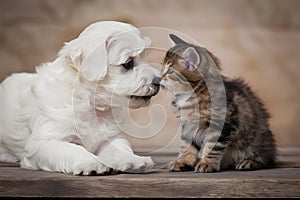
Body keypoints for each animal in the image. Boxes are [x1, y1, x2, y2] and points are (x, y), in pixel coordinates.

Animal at [0, 20, 161, 175]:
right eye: (128, 63)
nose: (158, 81)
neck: (89, 103)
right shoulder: (44, 141)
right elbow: (74, 149)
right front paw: (91, 163)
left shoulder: (109, 137)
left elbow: (119, 148)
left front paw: (133, 159)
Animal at [162, 34, 276, 172]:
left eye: (169, 71)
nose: (158, 77)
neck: (194, 94)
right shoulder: (188, 126)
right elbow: (187, 145)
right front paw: (182, 162)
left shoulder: (221, 125)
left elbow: (212, 147)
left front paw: (207, 163)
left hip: (257, 139)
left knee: (266, 158)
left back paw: (249, 161)